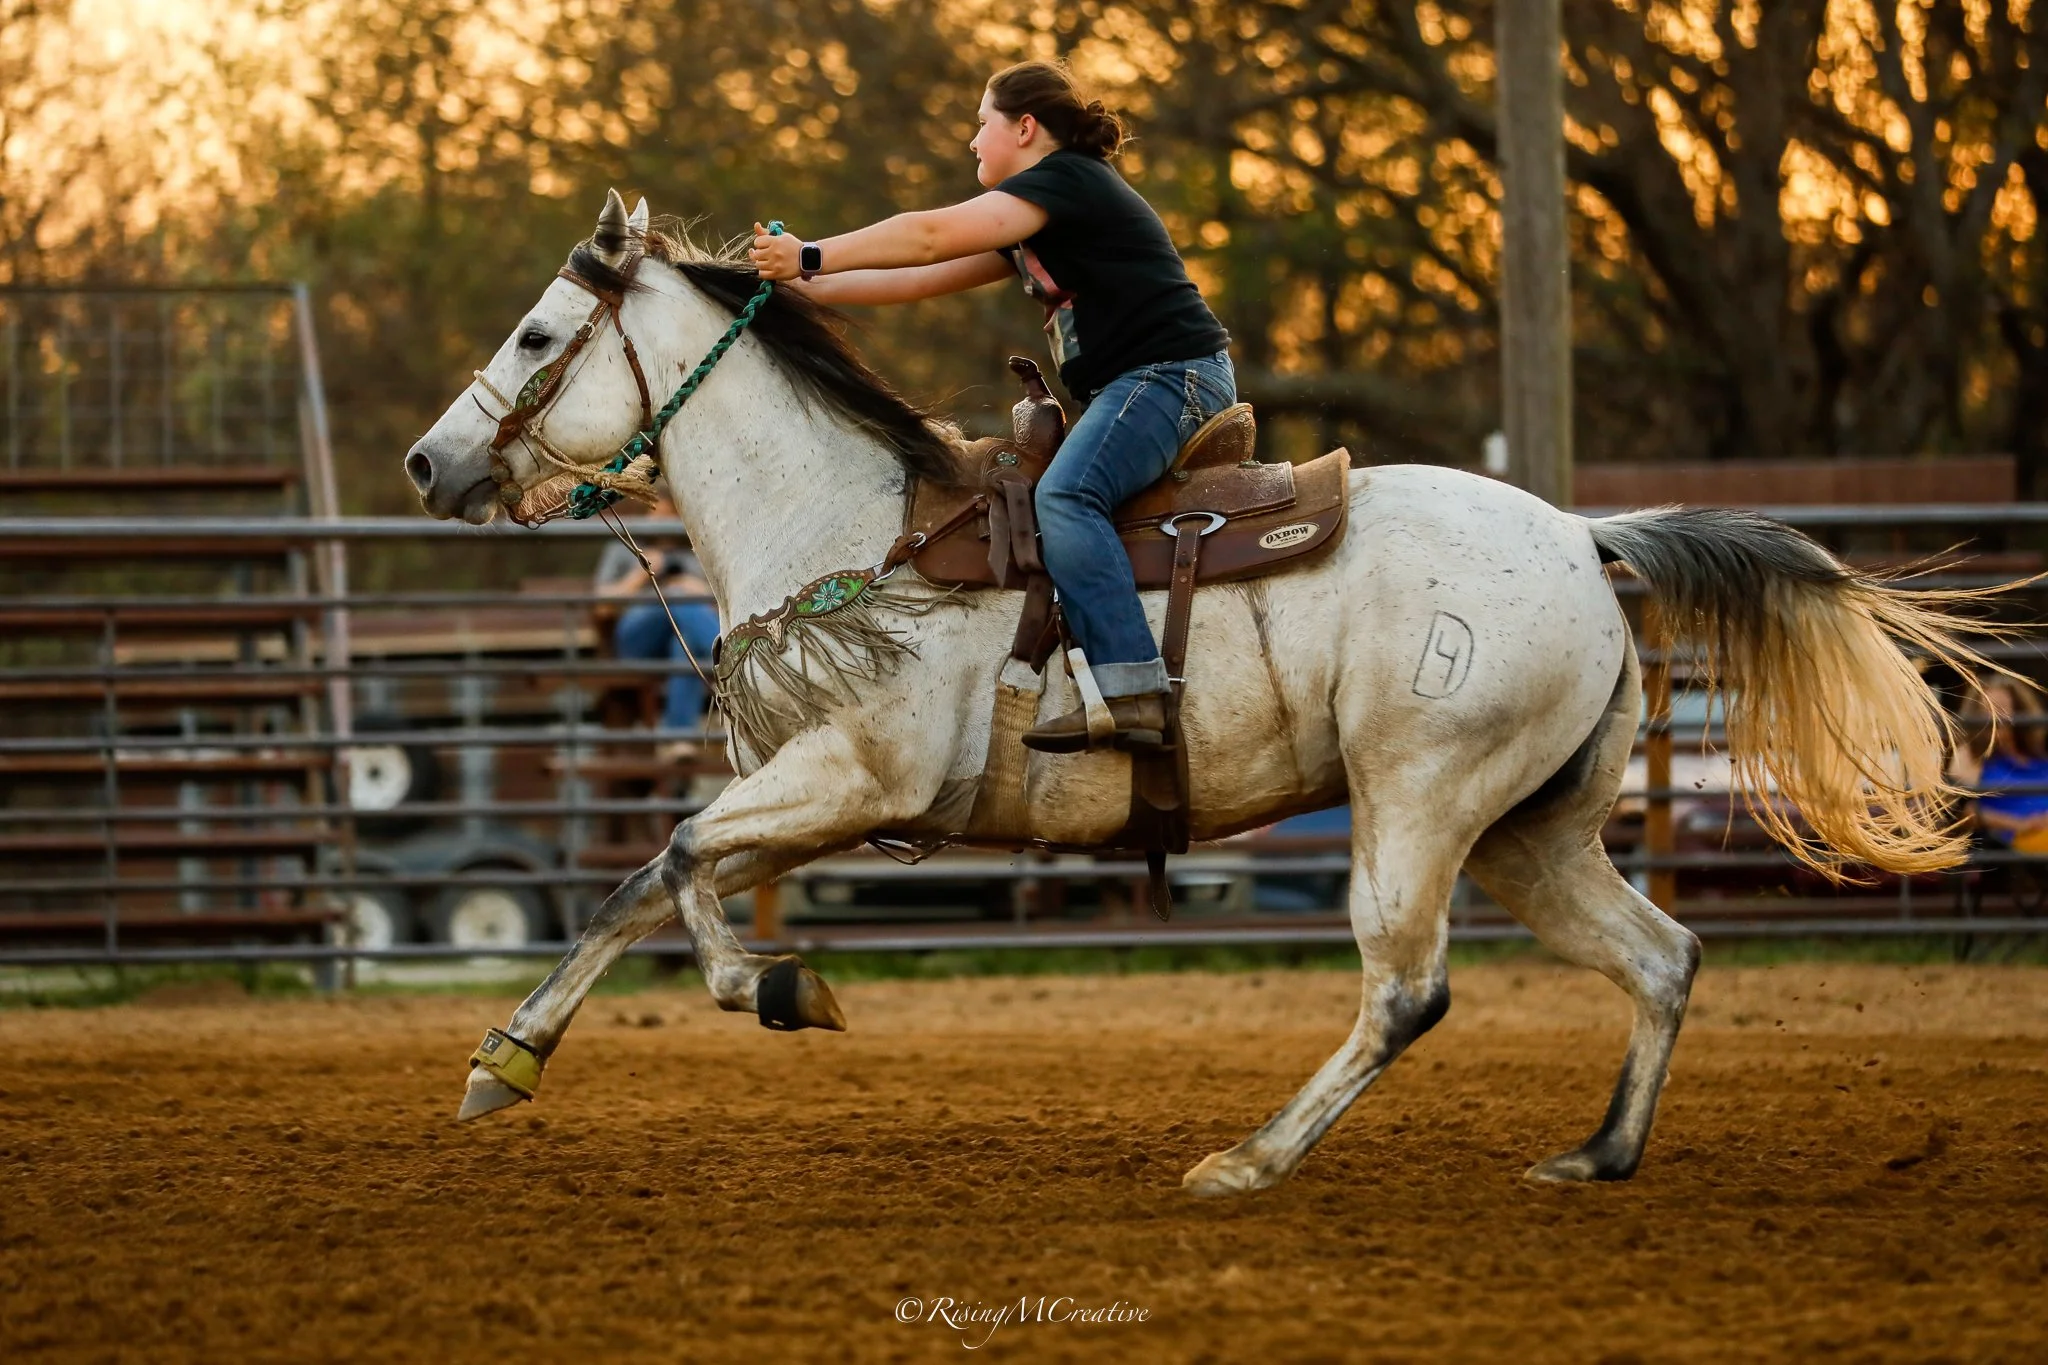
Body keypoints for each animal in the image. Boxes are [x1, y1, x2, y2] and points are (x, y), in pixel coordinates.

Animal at [404, 193, 1997, 1195]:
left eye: (539, 336)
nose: (429, 463)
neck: (858, 527)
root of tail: (1579, 534)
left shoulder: (852, 779)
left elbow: (674, 863)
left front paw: (775, 989)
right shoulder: (819, 802)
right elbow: (641, 886)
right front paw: (505, 1062)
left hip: (1418, 805)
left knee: (1405, 990)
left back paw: (1249, 1159)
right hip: (1530, 831)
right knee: (1661, 958)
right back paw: (1596, 1155)